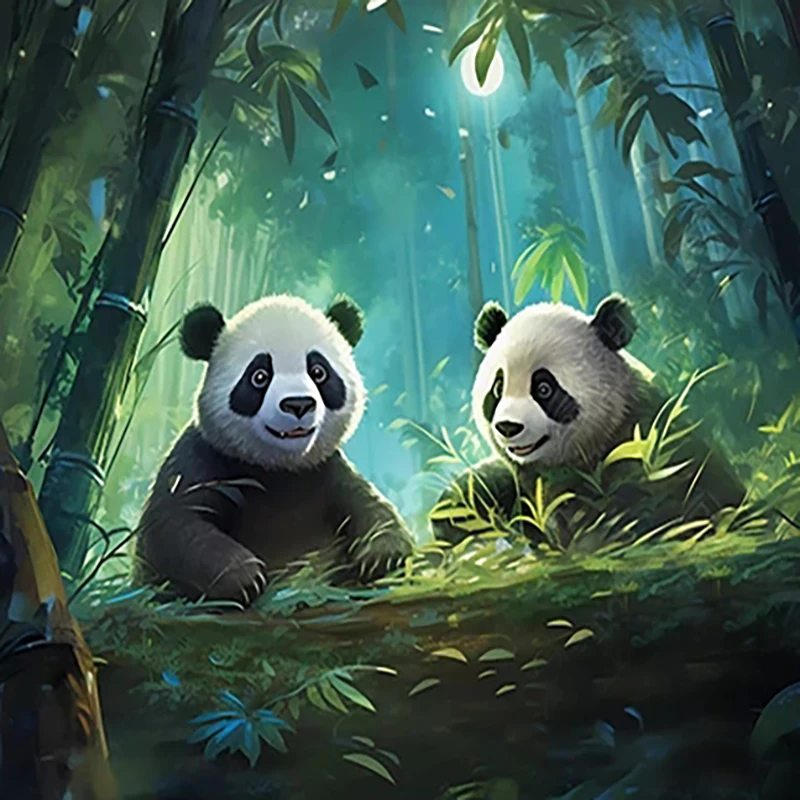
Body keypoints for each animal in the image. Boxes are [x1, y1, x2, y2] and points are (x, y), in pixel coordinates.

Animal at [134, 293, 414, 607]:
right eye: (259, 376)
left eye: (318, 371)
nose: (298, 404)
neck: (278, 468)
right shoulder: (204, 458)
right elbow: (171, 527)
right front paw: (243, 577)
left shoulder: (326, 470)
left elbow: (373, 508)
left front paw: (381, 556)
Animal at [431, 294, 746, 548]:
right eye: (498, 388)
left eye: (543, 388)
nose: (508, 427)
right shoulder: (528, 484)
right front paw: (451, 515)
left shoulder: (644, 446)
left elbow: (654, 509)